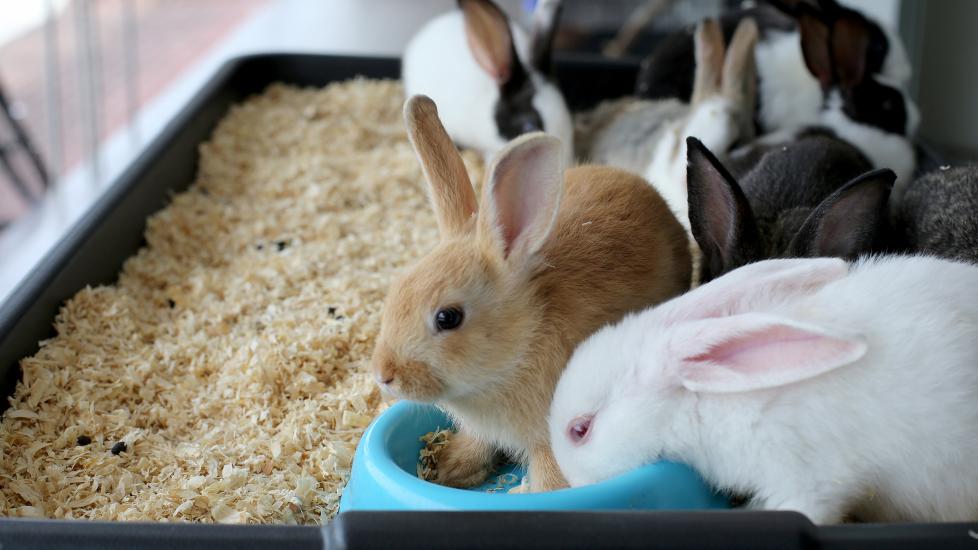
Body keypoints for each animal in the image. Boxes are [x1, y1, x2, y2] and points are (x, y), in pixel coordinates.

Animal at [370, 95, 692, 492]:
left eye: (448, 317)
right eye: (396, 289)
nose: (384, 375)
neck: (521, 344)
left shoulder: (551, 437)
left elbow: (549, 474)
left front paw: (532, 491)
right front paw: (452, 467)